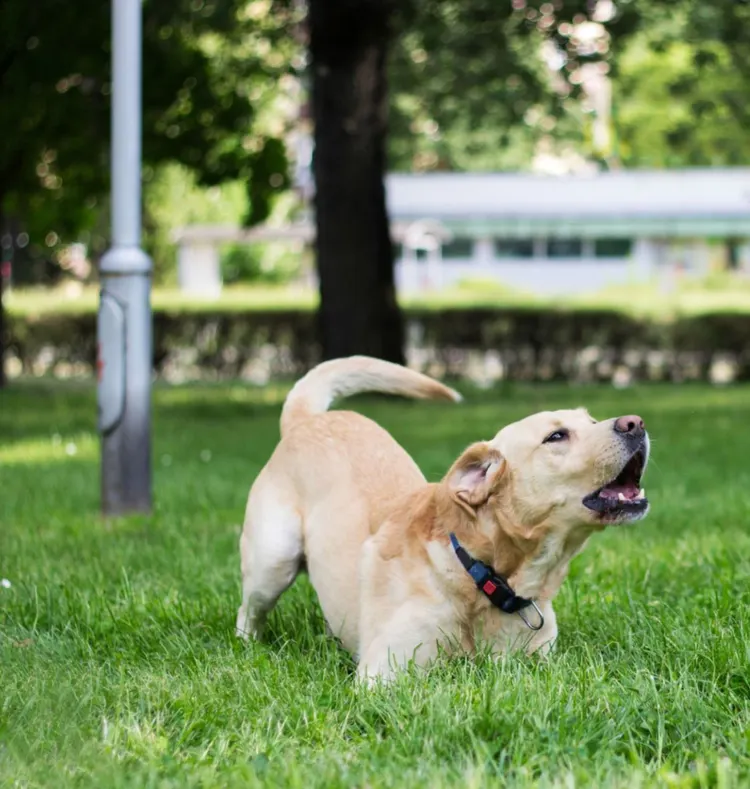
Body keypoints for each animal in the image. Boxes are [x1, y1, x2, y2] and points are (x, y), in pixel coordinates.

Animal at [238, 354, 648, 680]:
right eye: (557, 436)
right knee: (248, 613)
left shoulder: (540, 662)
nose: (635, 422)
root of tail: (305, 421)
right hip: (273, 560)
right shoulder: (384, 673)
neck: (479, 571)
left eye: (591, 420)